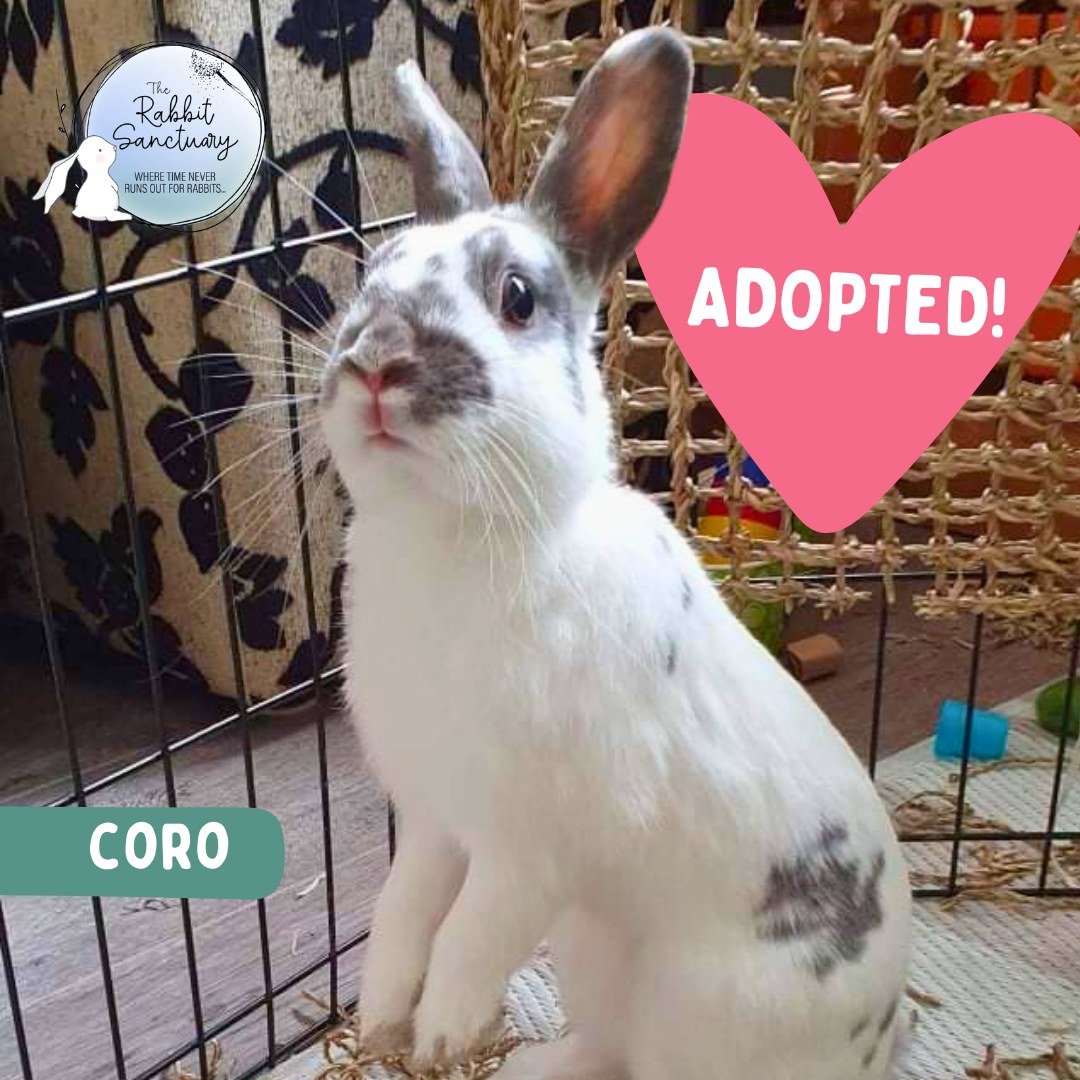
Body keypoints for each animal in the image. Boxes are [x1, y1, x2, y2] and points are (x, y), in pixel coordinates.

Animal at [320, 26, 912, 1080]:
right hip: (595, 959)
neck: (451, 534)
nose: (378, 362)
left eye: (516, 297)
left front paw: (440, 1036)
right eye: (371, 274)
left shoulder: (529, 852)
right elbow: (400, 918)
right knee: (605, 1049)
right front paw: (383, 1020)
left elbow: (468, 938)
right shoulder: (433, 825)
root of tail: (877, 1046)